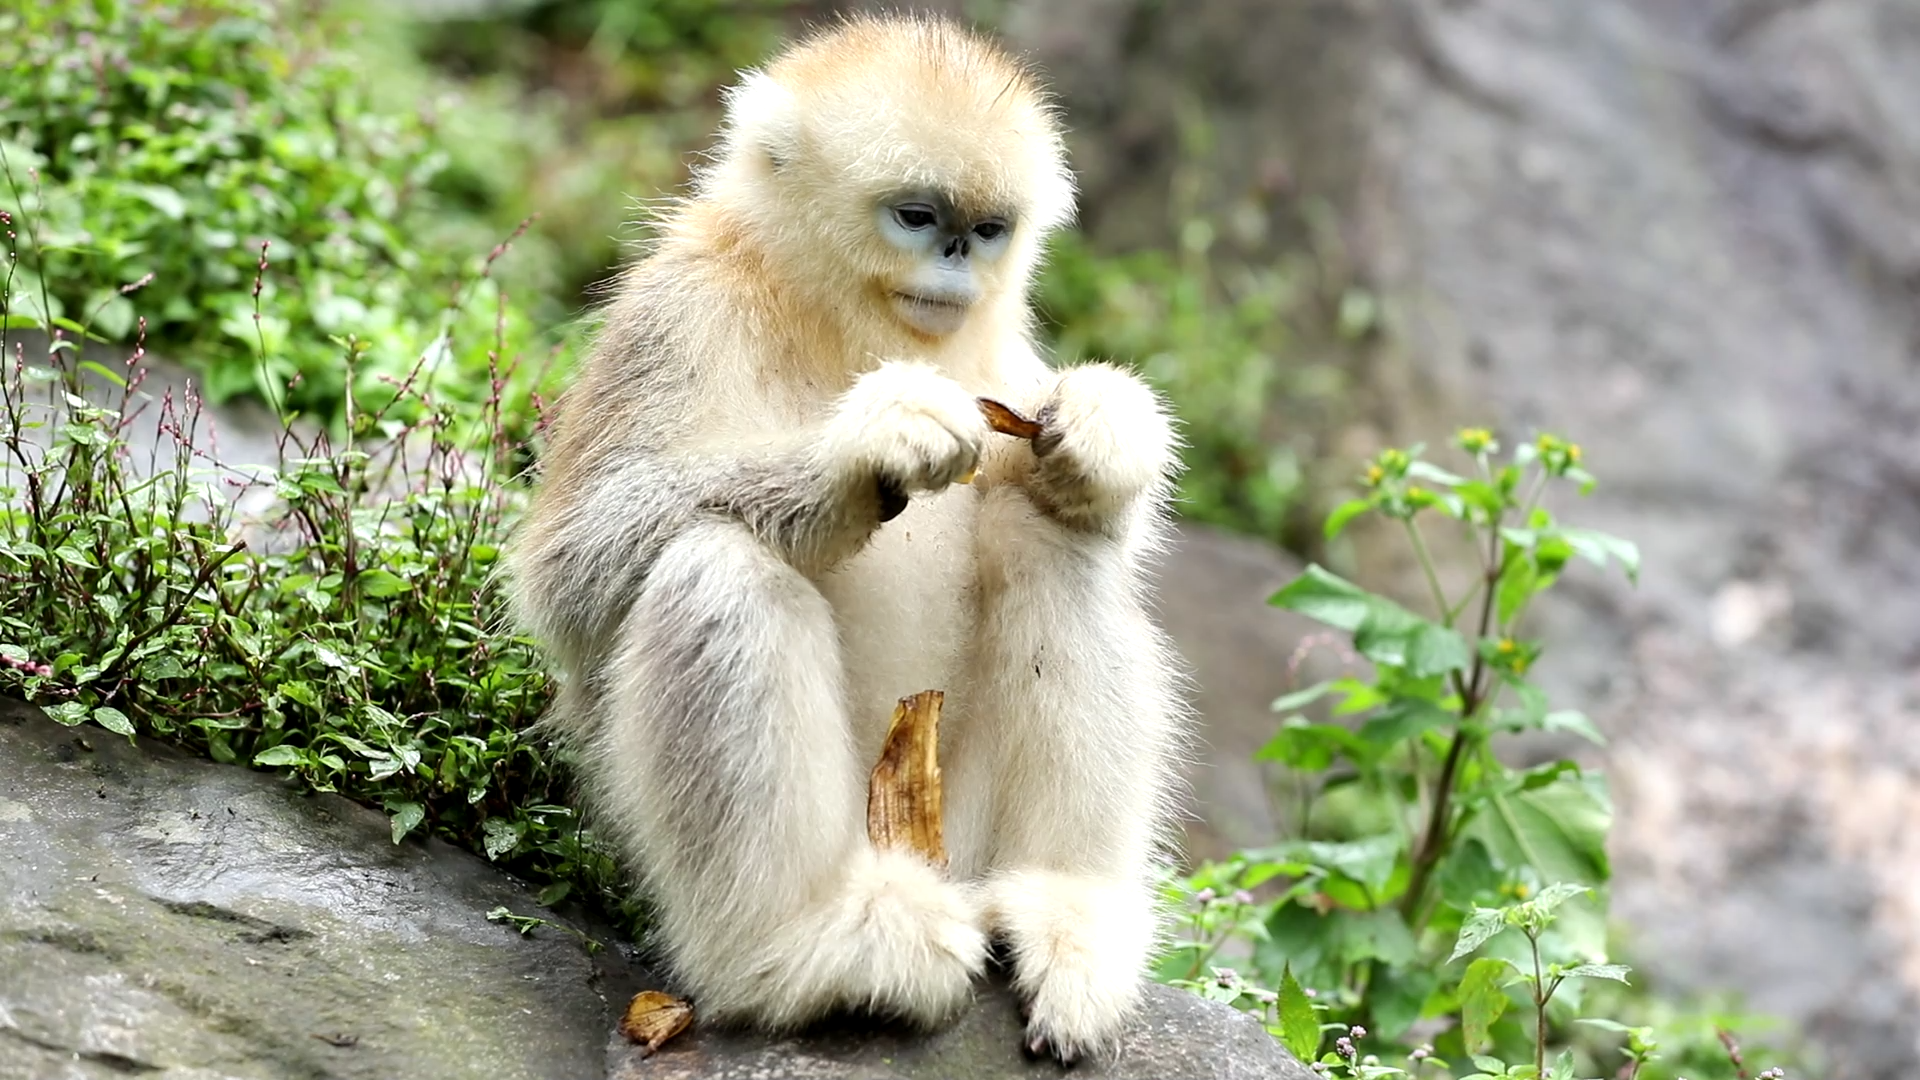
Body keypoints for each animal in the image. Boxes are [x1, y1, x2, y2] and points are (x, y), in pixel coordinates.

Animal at [510, 8, 1190, 1060]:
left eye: (986, 230)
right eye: (916, 217)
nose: (956, 263)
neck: (839, 322)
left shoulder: (1003, 365)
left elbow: (1075, 496)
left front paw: (1109, 428)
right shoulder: (677, 309)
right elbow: (572, 574)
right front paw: (862, 449)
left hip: (966, 828)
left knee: (1048, 536)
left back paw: (1066, 910)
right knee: (717, 565)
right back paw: (805, 947)